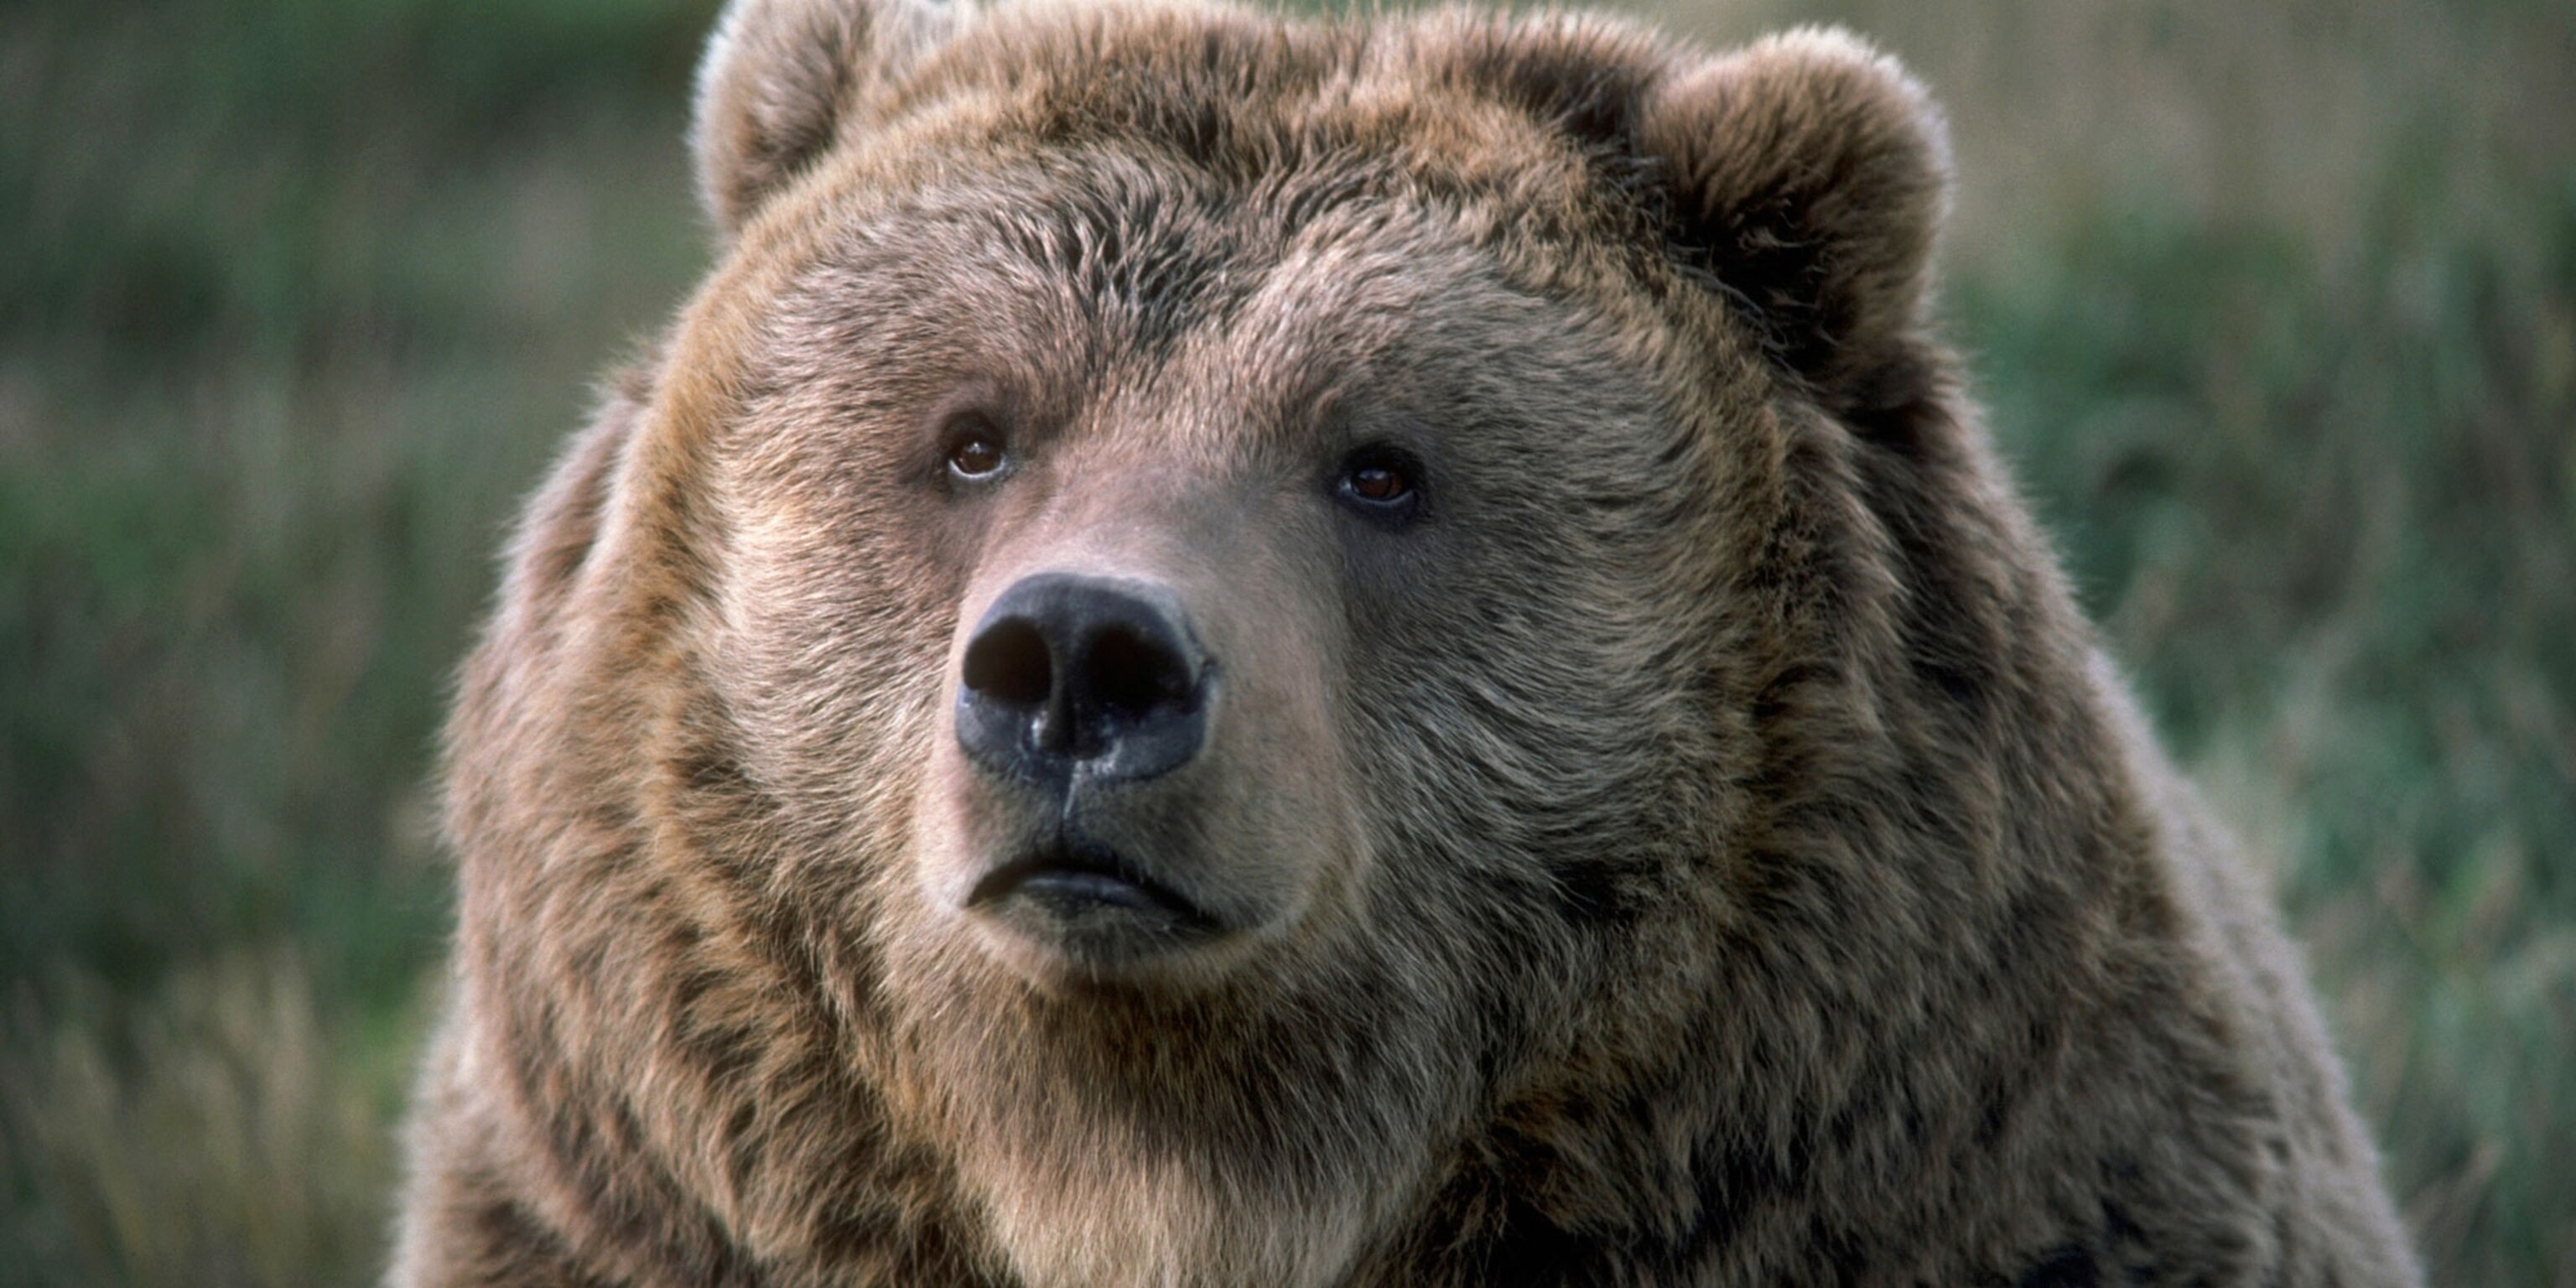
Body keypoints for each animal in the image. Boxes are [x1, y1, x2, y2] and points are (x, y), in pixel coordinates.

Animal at [388, 0, 2424, 1285]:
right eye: (974, 434)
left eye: (1379, 466)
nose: (1079, 662)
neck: (1172, 1167)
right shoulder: (631, 1214)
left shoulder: (1987, 1184)